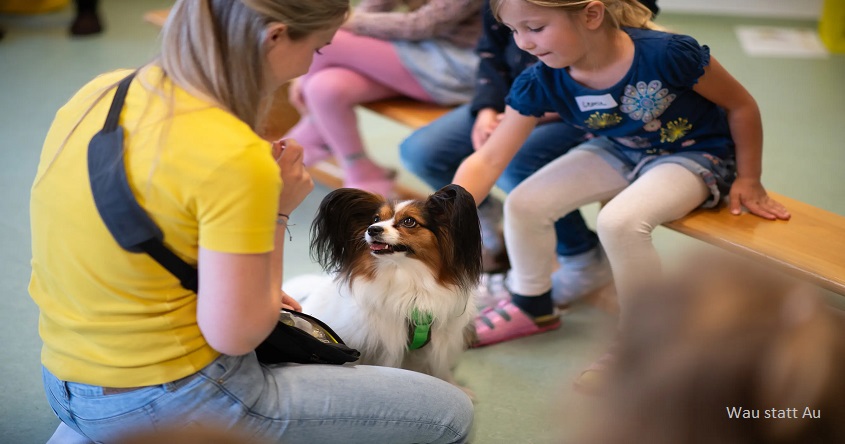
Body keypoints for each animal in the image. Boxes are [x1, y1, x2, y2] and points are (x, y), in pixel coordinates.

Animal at [292, 186, 482, 386]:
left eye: (409, 221)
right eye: (376, 219)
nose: (372, 229)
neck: (407, 280)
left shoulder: (434, 347)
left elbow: (439, 370)